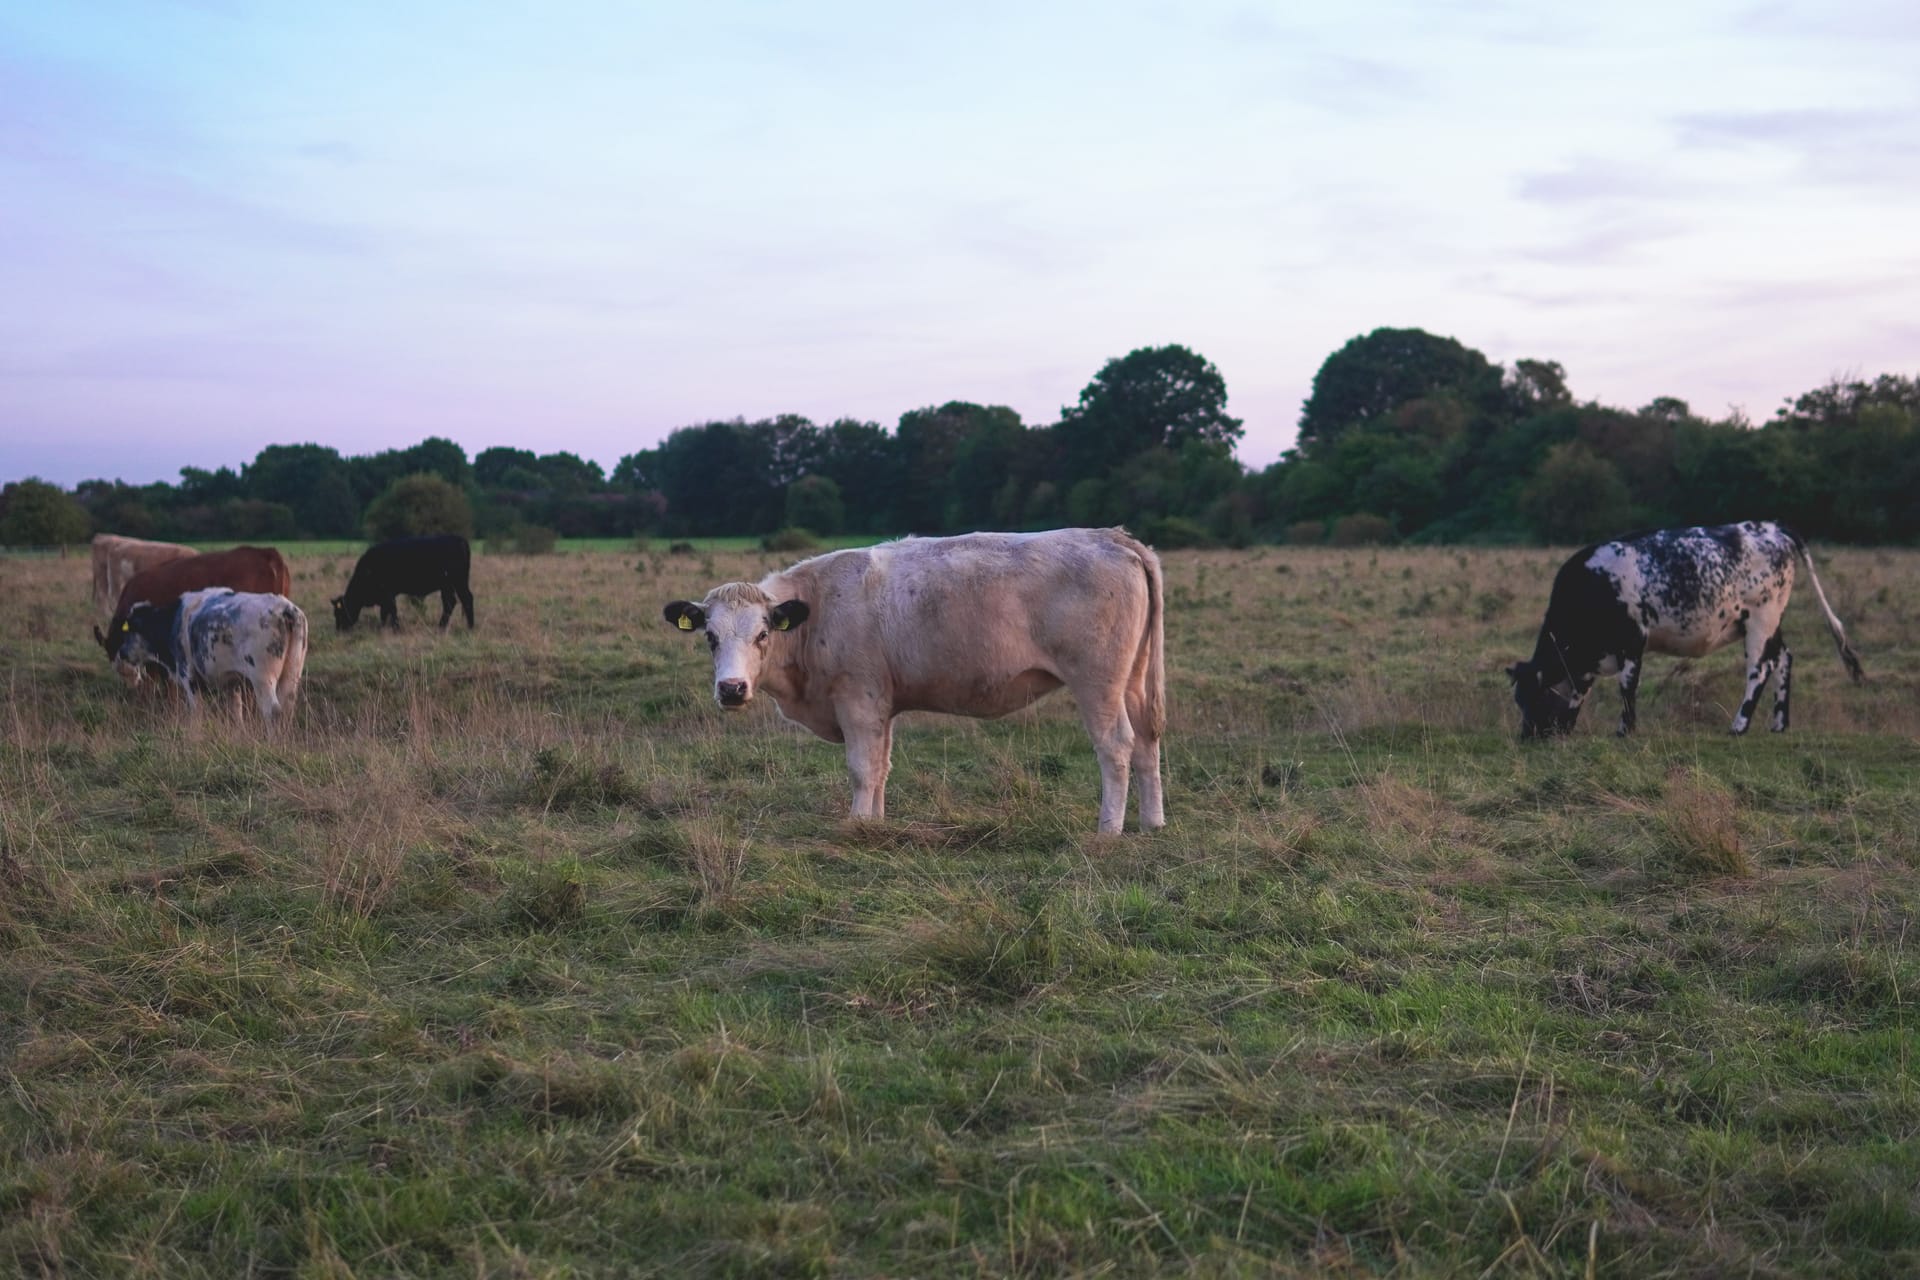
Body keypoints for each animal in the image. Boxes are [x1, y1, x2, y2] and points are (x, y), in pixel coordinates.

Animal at [117, 589, 308, 726]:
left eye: (129, 631)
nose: (122, 652)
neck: (173, 620)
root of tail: (286, 608)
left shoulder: (188, 676)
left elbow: (197, 712)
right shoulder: (232, 682)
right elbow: (236, 712)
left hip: (262, 678)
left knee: (273, 712)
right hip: (291, 675)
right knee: (287, 708)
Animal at [332, 535, 475, 631]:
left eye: (339, 612)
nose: (339, 630)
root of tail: (458, 539)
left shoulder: (387, 594)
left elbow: (391, 611)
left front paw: (396, 629)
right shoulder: (385, 597)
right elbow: (385, 613)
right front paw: (384, 628)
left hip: (458, 582)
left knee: (466, 599)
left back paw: (470, 627)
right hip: (447, 586)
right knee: (450, 603)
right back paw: (441, 627)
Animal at [663, 528, 1166, 834]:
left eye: (763, 633)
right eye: (710, 636)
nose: (732, 689)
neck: (818, 607)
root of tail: (1109, 536)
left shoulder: (858, 699)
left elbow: (862, 768)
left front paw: (857, 826)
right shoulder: (882, 705)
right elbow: (881, 767)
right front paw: (877, 824)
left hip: (1098, 683)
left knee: (1116, 746)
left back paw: (1108, 831)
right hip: (1134, 681)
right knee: (1146, 743)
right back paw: (1152, 822)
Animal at [1507, 521, 1863, 739]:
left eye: (1535, 696)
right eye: (1518, 700)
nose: (1527, 736)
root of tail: (1772, 528)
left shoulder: (1633, 641)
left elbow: (1627, 687)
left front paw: (1624, 730)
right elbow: (1582, 689)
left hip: (1761, 619)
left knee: (1759, 669)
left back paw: (1739, 726)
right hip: (1769, 622)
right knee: (1784, 658)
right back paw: (1778, 723)